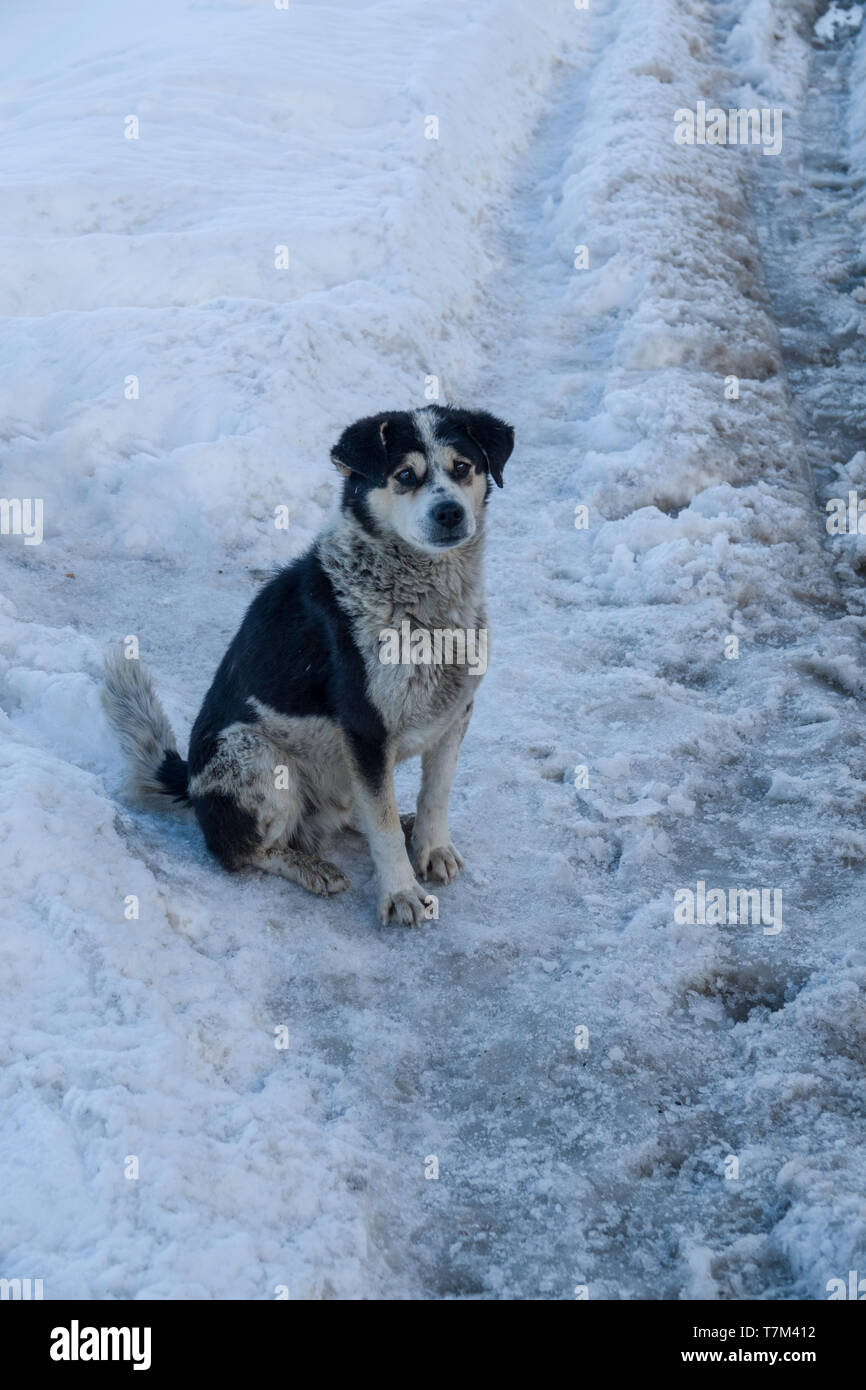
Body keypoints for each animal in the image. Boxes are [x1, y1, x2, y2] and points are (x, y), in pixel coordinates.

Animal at [105, 403, 517, 922]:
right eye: (405, 475)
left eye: (462, 467)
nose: (450, 512)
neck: (424, 608)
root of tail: (191, 784)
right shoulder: (365, 729)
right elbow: (381, 827)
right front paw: (401, 893)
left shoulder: (455, 711)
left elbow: (435, 793)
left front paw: (431, 846)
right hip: (254, 755)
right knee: (242, 850)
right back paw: (309, 868)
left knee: (358, 811)